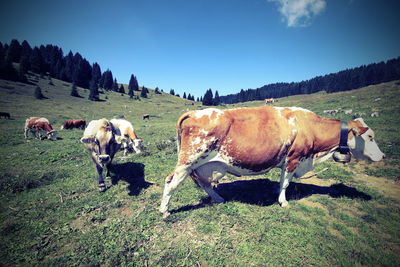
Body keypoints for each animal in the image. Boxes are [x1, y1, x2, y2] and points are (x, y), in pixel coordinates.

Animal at [159, 105, 384, 217]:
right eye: (370, 136)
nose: (382, 156)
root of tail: (194, 112)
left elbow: (282, 180)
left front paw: (278, 194)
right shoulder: (294, 157)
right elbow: (286, 183)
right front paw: (283, 201)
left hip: (204, 164)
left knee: (204, 183)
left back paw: (219, 198)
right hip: (189, 160)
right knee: (171, 181)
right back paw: (165, 210)